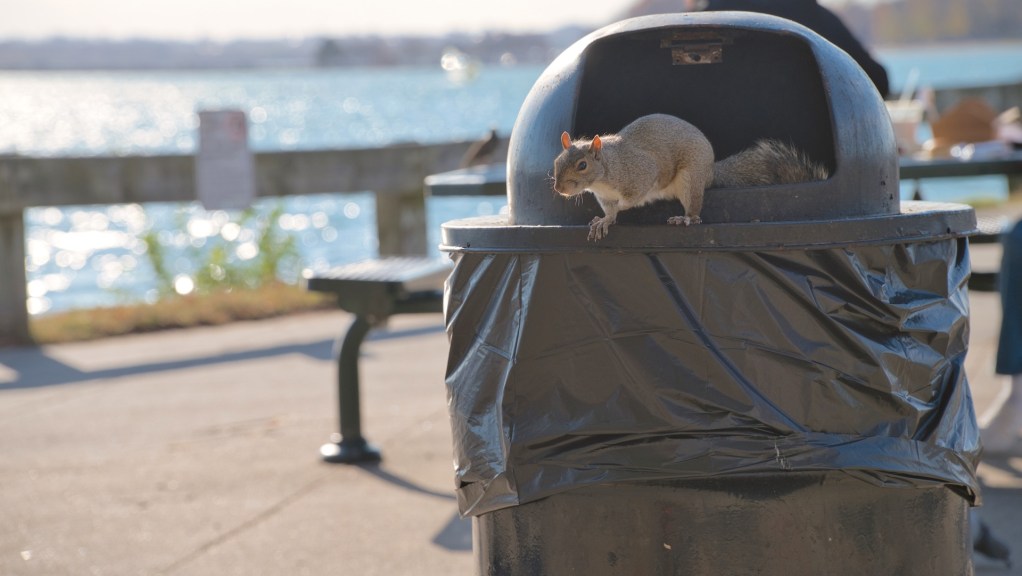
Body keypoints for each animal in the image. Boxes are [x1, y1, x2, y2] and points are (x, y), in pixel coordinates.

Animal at [552, 113, 829, 240]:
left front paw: (625, 207)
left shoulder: (640, 172)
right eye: (557, 161)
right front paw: (603, 222)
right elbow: (609, 213)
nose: (559, 189)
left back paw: (685, 218)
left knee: (695, 210)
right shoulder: (604, 197)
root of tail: (711, 171)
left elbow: (632, 197)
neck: (605, 173)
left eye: (582, 165)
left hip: (691, 179)